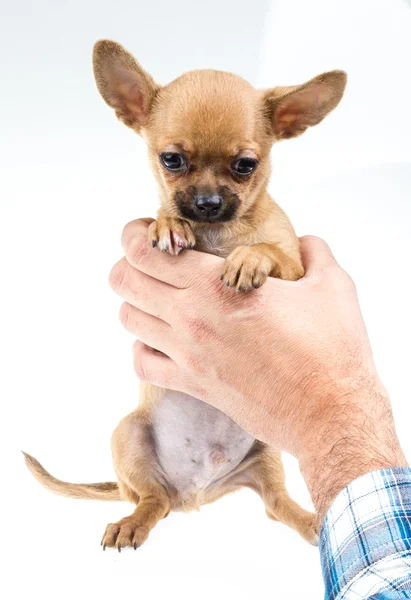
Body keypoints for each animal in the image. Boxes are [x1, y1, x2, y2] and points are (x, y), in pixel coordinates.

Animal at [24, 39, 346, 552]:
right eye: (171, 160)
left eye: (245, 166)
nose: (208, 204)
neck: (217, 235)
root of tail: (195, 494)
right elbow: (161, 218)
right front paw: (169, 225)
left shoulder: (295, 270)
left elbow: (268, 249)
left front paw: (248, 259)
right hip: (128, 433)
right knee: (151, 500)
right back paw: (133, 521)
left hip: (266, 450)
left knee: (276, 505)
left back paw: (314, 522)